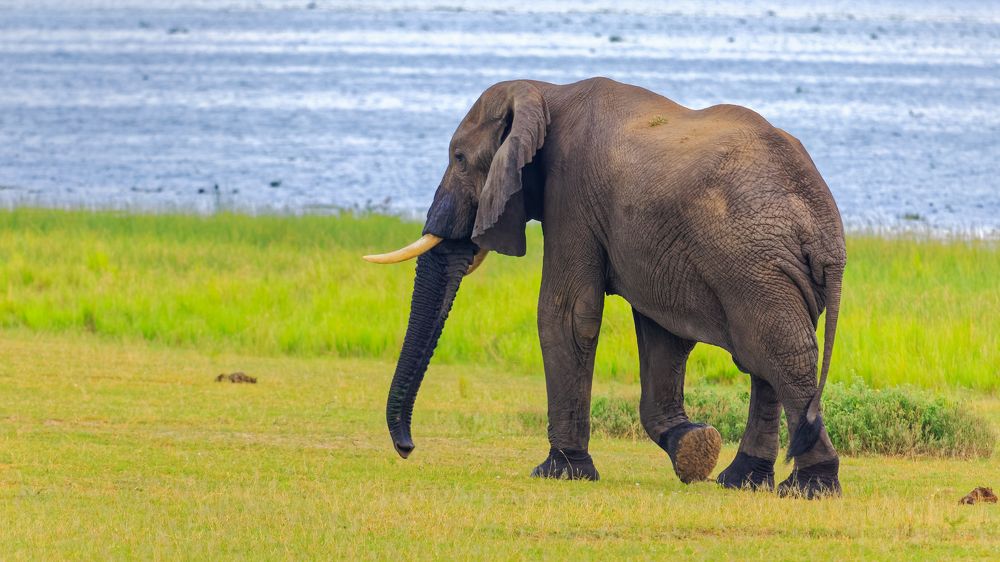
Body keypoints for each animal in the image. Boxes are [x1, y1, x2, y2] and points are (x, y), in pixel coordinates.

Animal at [365, 77, 846, 499]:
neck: (547, 91)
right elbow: (662, 335)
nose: (407, 449)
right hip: (770, 269)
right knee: (766, 358)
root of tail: (826, 228)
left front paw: (560, 471)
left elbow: (567, 315)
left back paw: (810, 488)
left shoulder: (570, 191)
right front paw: (693, 447)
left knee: (780, 351)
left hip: (753, 264)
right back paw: (741, 480)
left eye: (460, 158)